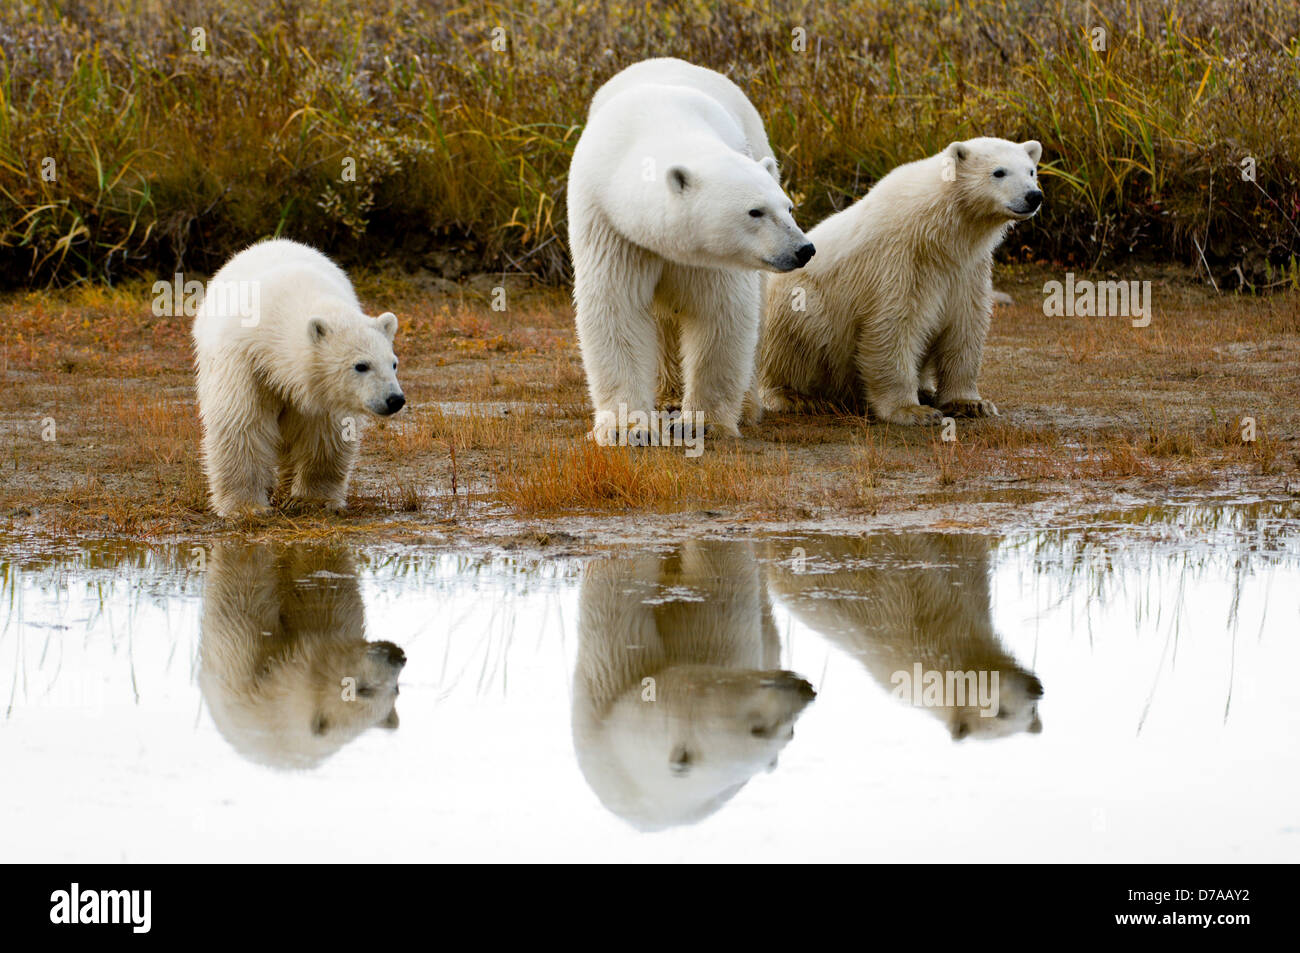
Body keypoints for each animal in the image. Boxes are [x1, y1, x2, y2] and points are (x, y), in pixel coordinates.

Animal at [192, 238, 405, 517]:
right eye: (361, 366)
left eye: (393, 364)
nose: (394, 399)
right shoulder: (246, 364)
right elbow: (241, 424)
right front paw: (246, 507)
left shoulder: (322, 392)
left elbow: (325, 433)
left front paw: (313, 499)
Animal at [198, 543, 407, 768]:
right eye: (363, 690)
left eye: (396, 689)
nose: (397, 656)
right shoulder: (244, 656)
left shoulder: (330, 619)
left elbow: (325, 580)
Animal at [566, 57, 815, 446]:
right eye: (755, 211)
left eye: (788, 208)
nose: (803, 249)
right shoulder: (610, 226)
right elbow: (617, 309)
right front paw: (628, 428)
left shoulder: (713, 255)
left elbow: (721, 314)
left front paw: (701, 423)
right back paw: (667, 395)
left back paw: (745, 406)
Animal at [759, 137, 1043, 424]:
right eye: (999, 172)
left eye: (1031, 171)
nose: (1034, 196)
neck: (939, 234)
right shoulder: (900, 261)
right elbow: (893, 326)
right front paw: (912, 411)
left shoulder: (967, 270)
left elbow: (965, 326)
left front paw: (971, 403)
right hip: (796, 307)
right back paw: (798, 397)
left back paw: (926, 390)